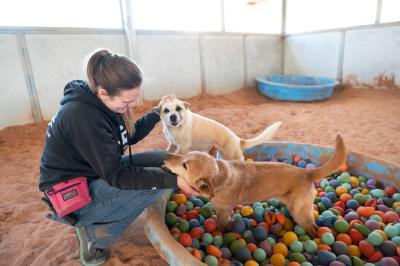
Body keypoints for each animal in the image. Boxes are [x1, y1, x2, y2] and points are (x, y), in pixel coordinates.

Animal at [153, 93, 282, 160]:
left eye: (178, 108)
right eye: (166, 110)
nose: (173, 117)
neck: (176, 127)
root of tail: (238, 140)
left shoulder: (183, 147)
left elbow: (177, 155)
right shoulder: (173, 145)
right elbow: (168, 152)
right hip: (220, 156)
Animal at [164, 135, 346, 235]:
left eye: (185, 166)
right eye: (185, 156)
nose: (165, 156)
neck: (219, 176)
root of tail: (307, 173)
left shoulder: (223, 212)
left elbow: (221, 225)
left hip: (301, 212)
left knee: (313, 228)